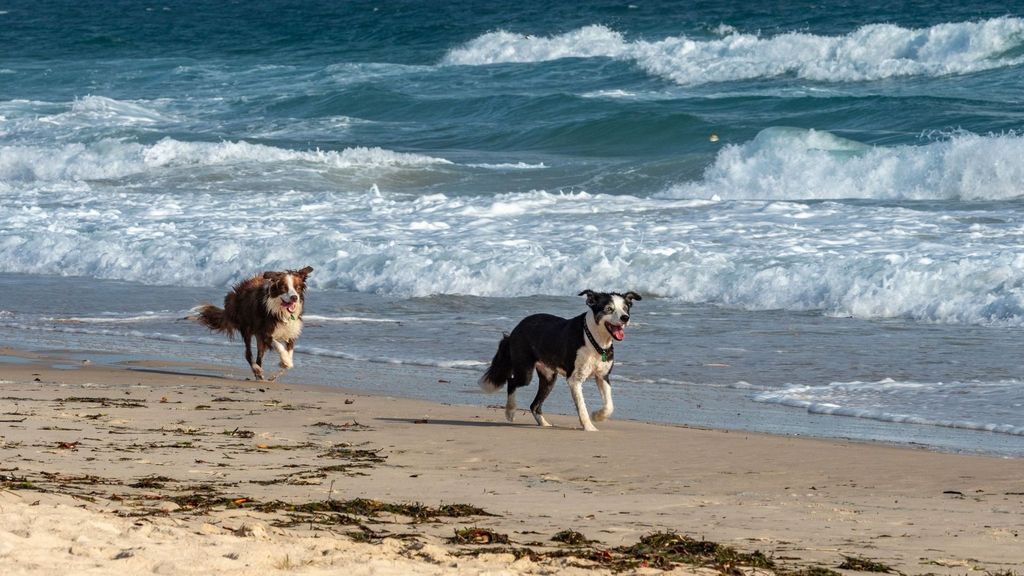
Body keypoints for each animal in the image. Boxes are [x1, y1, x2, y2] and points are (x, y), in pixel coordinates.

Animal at [479, 289, 638, 428]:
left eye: (626, 308)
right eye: (609, 309)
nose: (625, 318)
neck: (593, 339)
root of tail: (515, 330)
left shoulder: (603, 376)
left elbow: (609, 405)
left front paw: (597, 416)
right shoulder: (575, 379)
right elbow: (582, 406)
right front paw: (589, 427)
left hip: (549, 377)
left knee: (534, 405)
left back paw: (544, 424)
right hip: (525, 371)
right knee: (512, 382)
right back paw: (510, 411)